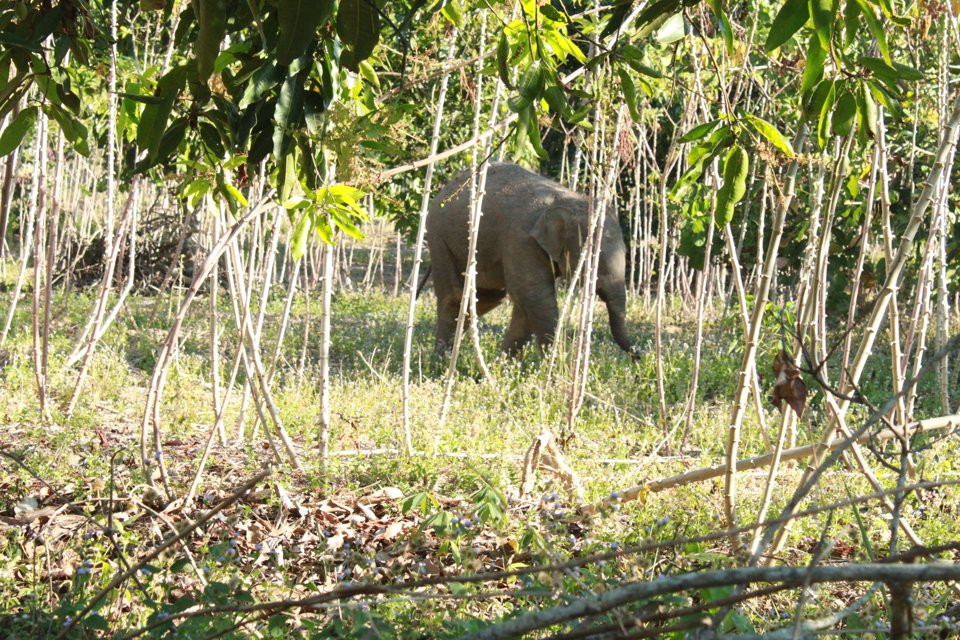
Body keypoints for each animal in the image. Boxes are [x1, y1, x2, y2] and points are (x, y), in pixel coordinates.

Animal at [426, 162, 636, 358]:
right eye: (596, 265)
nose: (638, 356)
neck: (567, 200)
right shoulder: (521, 240)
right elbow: (535, 296)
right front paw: (555, 364)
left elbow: (525, 304)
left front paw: (506, 363)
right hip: (439, 239)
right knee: (453, 297)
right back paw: (441, 360)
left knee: (487, 297)